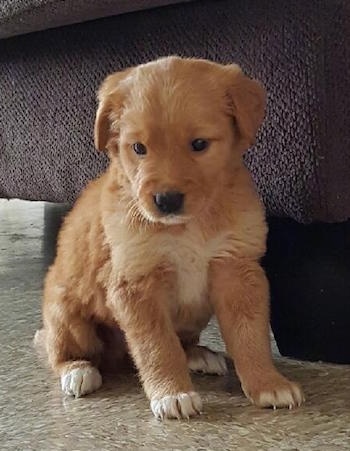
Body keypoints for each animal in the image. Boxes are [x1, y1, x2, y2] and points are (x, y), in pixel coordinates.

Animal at [36, 55, 304, 420]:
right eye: (139, 148)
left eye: (199, 144)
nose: (166, 200)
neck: (187, 226)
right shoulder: (136, 283)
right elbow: (157, 346)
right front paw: (172, 393)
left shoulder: (237, 270)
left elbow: (250, 335)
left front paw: (268, 383)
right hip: (66, 313)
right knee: (60, 352)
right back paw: (78, 371)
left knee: (184, 342)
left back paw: (200, 355)